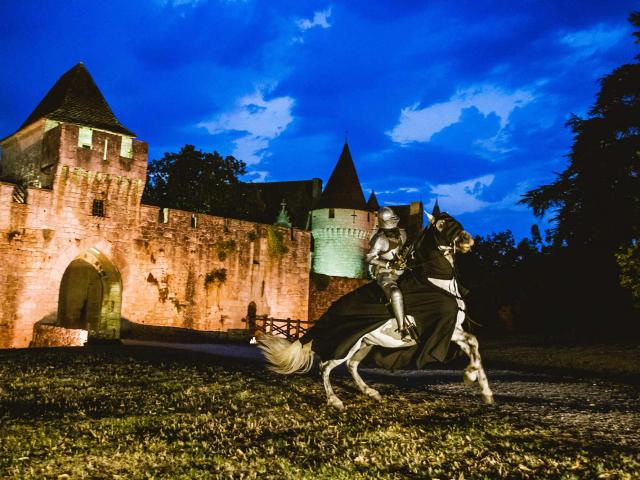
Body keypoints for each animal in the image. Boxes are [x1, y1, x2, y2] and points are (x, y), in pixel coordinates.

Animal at [258, 212, 492, 410]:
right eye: (441, 225)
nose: (467, 240)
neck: (436, 282)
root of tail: (331, 310)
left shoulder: (454, 330)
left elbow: (474, 343)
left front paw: (483, 389)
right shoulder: (444, 331)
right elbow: (472, 343)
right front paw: (471, 377)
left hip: (366, 343)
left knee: (351, 365)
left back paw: (369, 391)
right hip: (349, 344)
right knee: (325, 366)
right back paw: (335, 400)